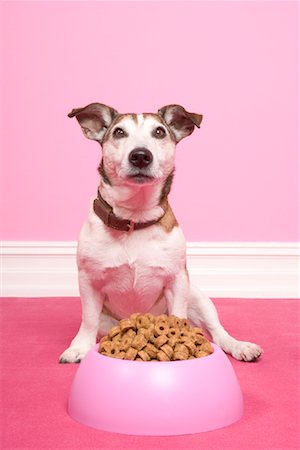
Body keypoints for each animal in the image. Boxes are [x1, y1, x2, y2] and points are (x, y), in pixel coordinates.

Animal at [59, 102, 262, 362]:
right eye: (118, 132)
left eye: (159, 132)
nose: (140, 155)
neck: (135, 218)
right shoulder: (88, 281)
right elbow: (88, 319)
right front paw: (79, 347)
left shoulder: (177, 281)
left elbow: (179, 317)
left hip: (197, 297)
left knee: (217, 331)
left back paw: (238, 346)